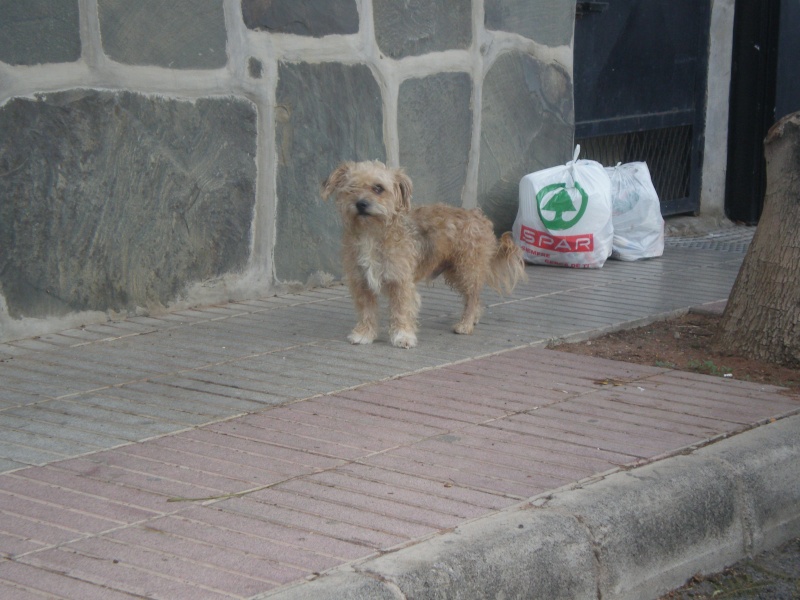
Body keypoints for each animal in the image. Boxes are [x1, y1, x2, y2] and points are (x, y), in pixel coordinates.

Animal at [322, 161, 528, 346]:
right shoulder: (361, 282)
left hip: (467, 270)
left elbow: (401, 311)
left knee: (472, 297)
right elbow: (367, 311)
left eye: (378, 188)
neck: (372, 234)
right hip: (456, 272)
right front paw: (364, 334)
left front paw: (403, 336)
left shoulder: (401, 282)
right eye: (351, 187)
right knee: (476, 298)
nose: (361, 204)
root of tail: (478, 216)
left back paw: (465, 324)